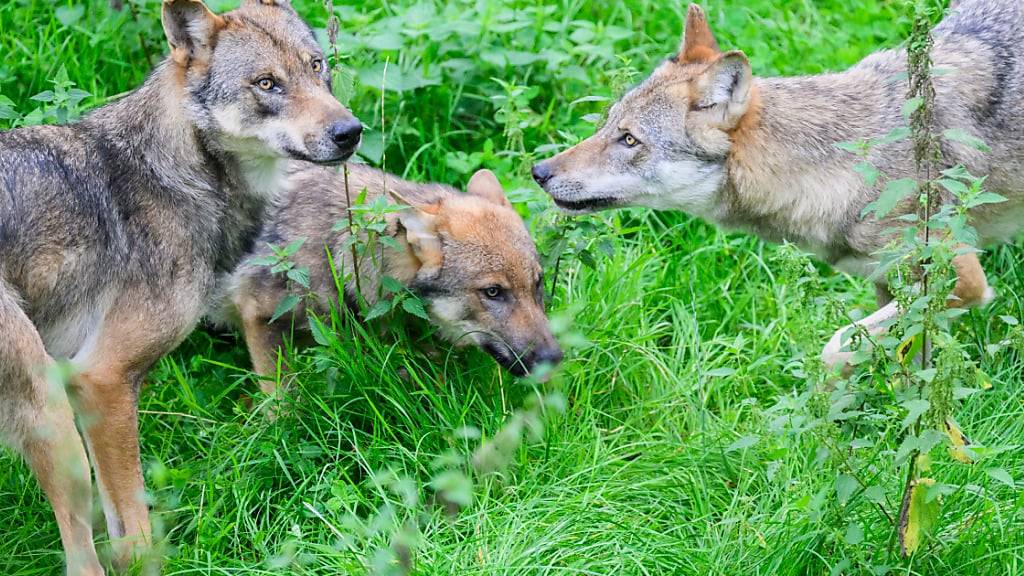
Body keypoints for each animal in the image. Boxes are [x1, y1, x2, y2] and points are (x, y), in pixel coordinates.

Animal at [0, 2, 362, 569]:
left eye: (317, 66)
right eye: (267, 83)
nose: (351, 131)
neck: (177, 174)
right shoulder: (102, 378)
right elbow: (135, 528)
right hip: (53, 423)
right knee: (81, 558)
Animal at [220, 161, 565, 393]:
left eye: (537, 283)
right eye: (493, 292)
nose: (554, 358)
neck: (335, 247)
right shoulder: (258, 315)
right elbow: (282, 402)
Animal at [532, 0, 1019, 366]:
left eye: (630, 139)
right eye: (607, 124)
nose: (540, 172)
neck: (845, 165)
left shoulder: (959, 280)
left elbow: (835, 349)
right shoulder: (890, 285)